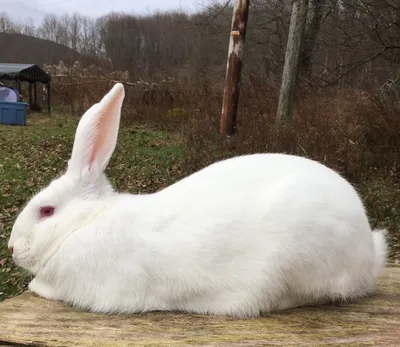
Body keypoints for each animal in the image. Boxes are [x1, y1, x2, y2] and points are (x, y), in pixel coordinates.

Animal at [7, 83, 388, 318]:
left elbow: (47, 288)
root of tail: (369, 252)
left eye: (46, 211)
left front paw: (34, 286)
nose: (11, 248)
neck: (86, 222)